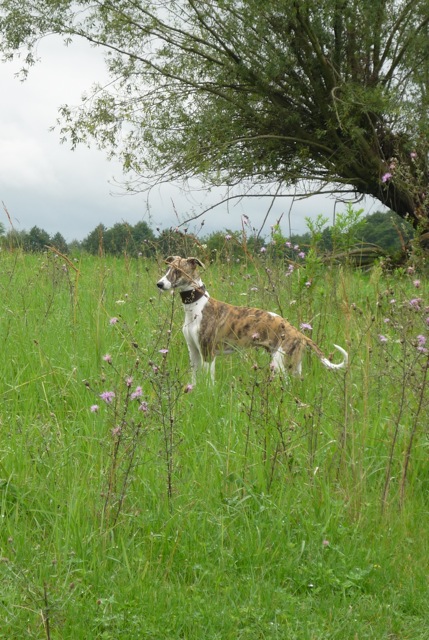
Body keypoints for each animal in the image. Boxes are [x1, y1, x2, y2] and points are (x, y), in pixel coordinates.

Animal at [155, 256, 346, 384]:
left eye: (178, 271)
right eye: (167, 270)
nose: (159, 284)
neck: (197, 305)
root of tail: (299, 333)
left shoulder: (208, 352)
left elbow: (209, 382)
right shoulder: (193, 351)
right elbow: (194, 379)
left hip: (280, 364)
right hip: (293, 364)